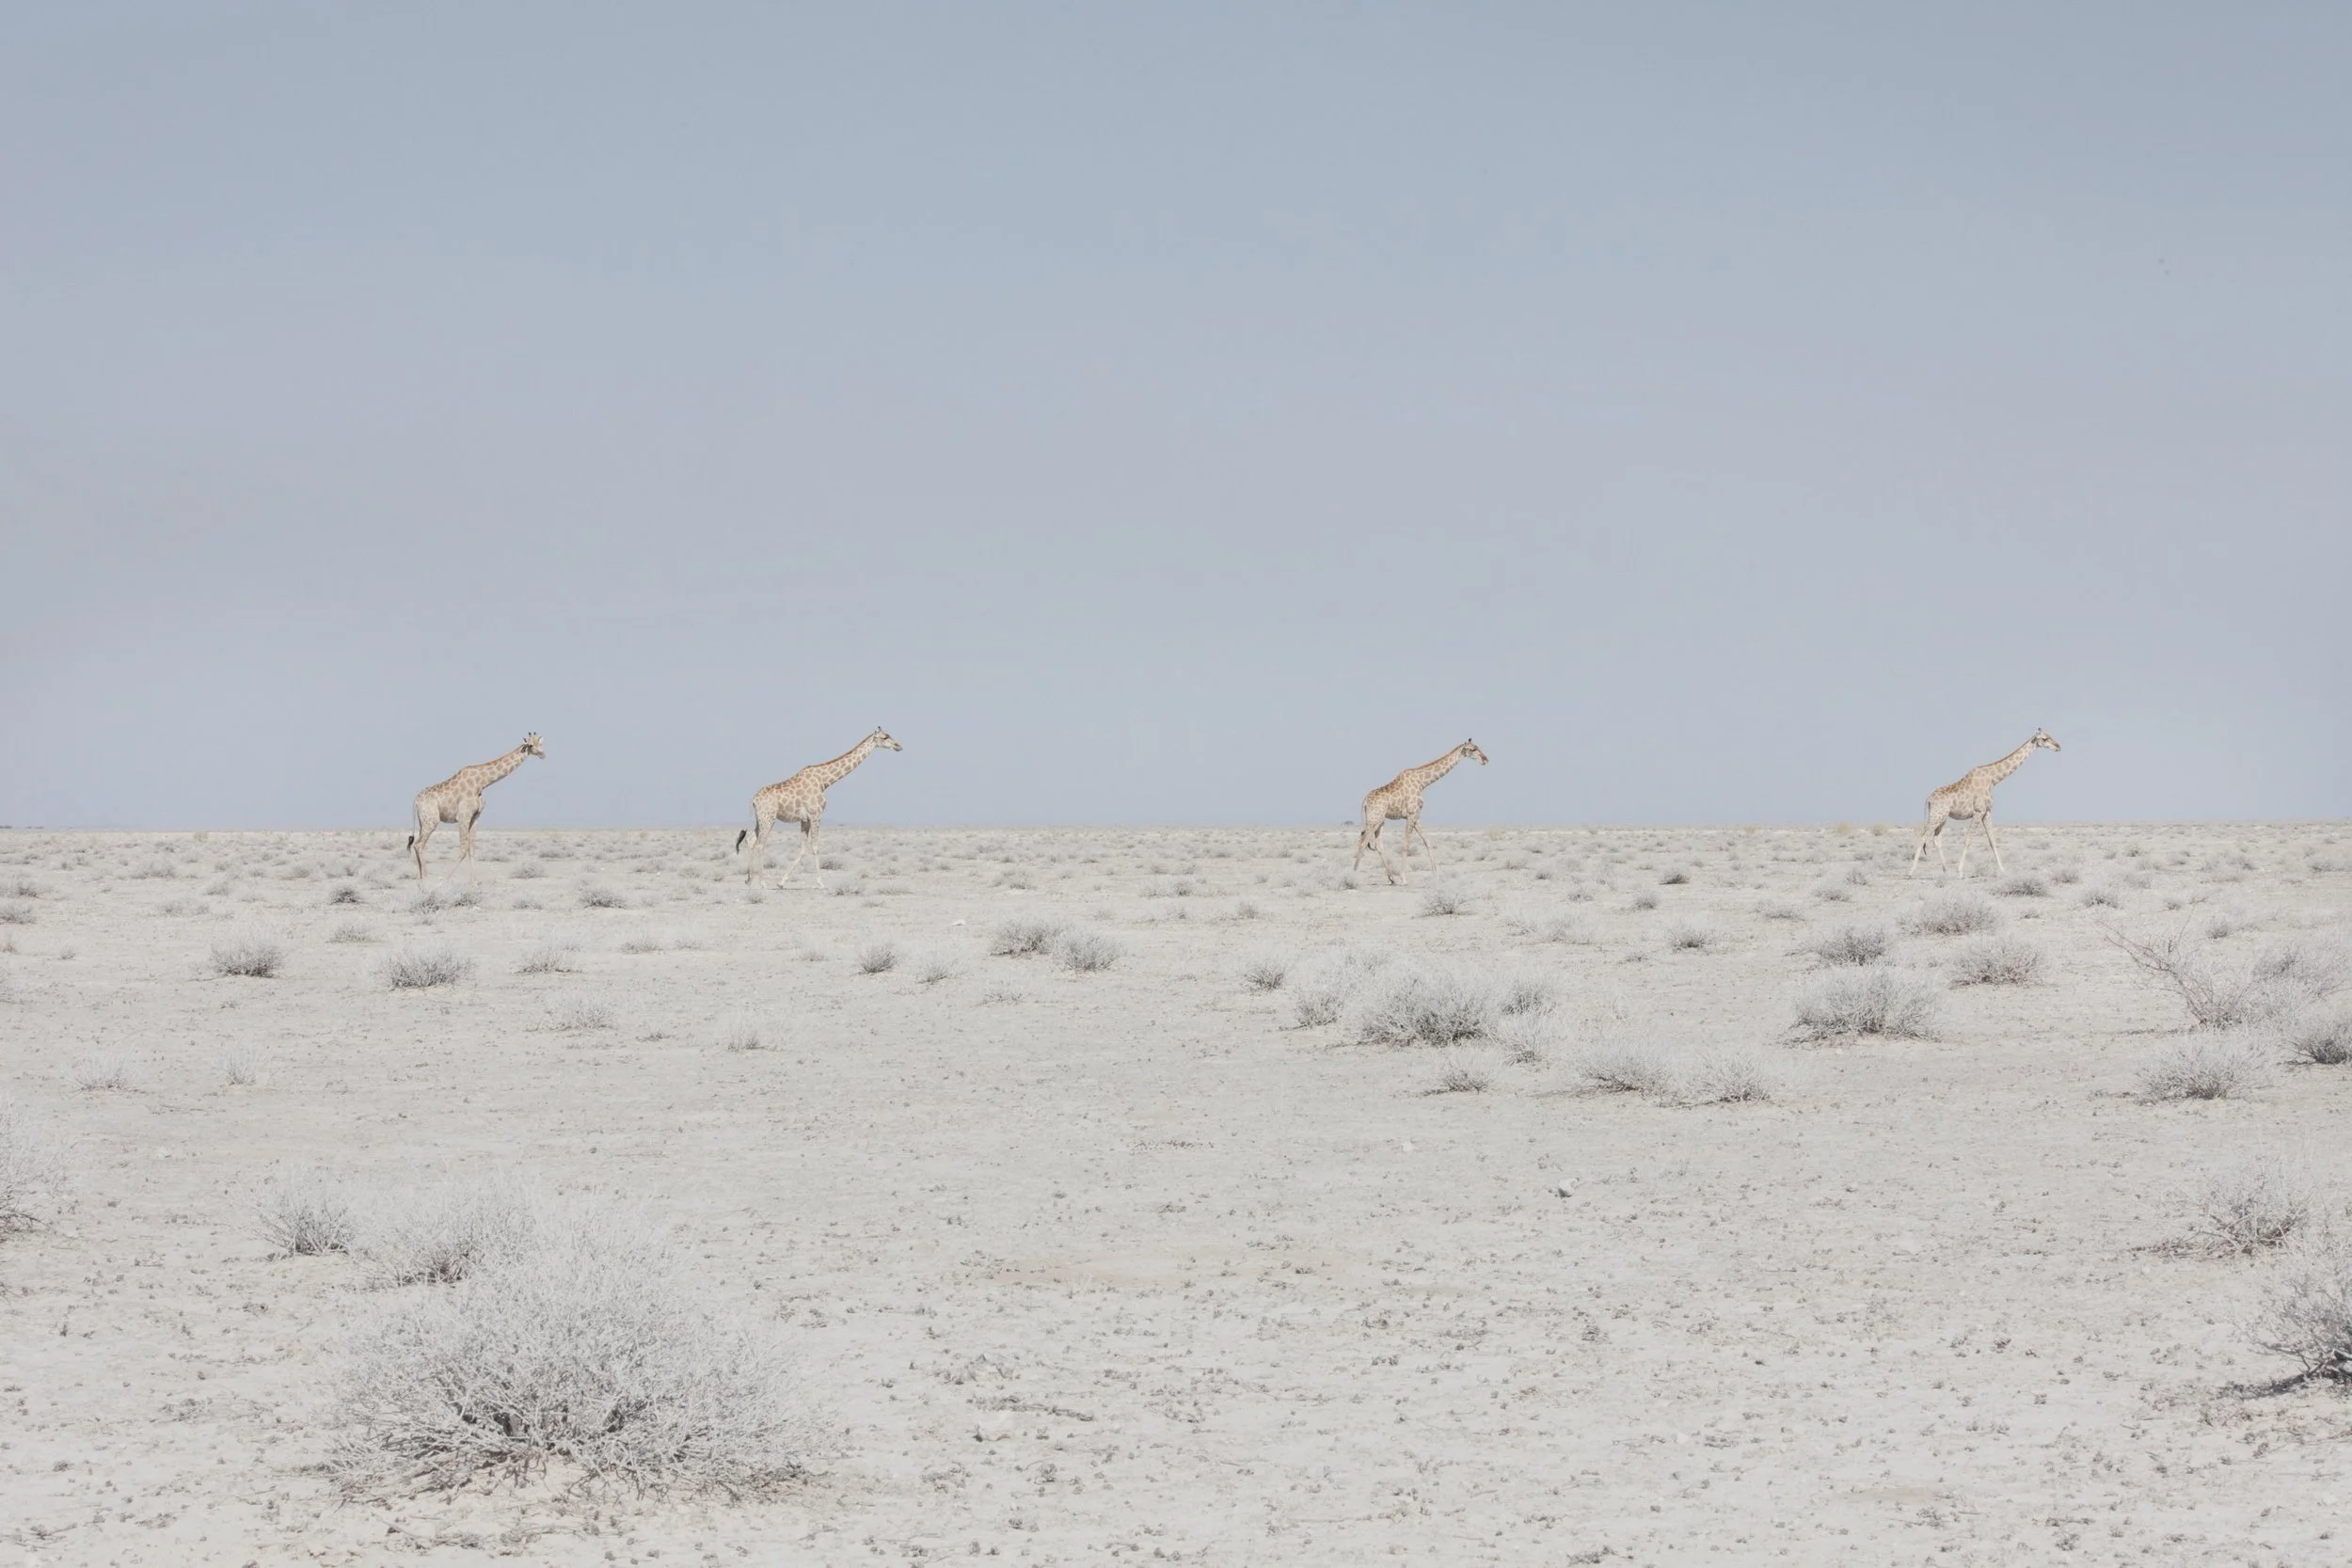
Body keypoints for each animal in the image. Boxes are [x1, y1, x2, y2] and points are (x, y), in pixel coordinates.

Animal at [408, 733, 545, 882]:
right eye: (530, 745)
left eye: (541, 743)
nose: (543, 754)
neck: (482, 783)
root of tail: (415, 800)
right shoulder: (463, 816)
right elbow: (463, 850)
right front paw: (444, 881)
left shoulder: (476, 816)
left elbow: (472, 849)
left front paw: (474, 883)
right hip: (431, 820)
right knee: (419, 845)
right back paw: (426, 880)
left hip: (423, 821)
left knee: (417, 844)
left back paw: (420, 880)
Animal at [736, 727, 903, 888]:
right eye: (885, 737)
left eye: (889, 735)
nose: (898, 746)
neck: (825, 781)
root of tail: (754, 800)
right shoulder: (815, 815)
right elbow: (815, 847)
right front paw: (821, 883)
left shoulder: (805, 820)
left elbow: (803, 849)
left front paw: (781, 882)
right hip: (768, 818)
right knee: (760, 845)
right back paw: (762, 882)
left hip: (760, 819)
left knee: (750, 840)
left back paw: (749, 880)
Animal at [1354, 739, 1489, 885]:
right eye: (1473, 749)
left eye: (1478, 747)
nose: (1485, 759)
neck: (1423, 783)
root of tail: (1365, 801)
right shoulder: (1411, 814)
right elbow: (1406, 844)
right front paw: (1403, 878)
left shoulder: (1416, 816)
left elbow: (1428, 841)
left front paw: (1436, 876)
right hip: (1374, 819)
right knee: (1362, 841)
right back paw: (1354, 875)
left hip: (1380, 820)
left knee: (1378, 845)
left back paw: (1391, 879)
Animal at [1909, 728, 2061, 879]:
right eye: (2045, 738)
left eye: (2050, 735)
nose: (2058, 747)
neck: (1993, 780)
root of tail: (1928, 799)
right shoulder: (1979, 811)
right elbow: (1968, 840)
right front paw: (1960, 871)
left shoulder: (1987, 812)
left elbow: (1992, 841)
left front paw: (2003, 870)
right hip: (1937, 815)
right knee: (1923, 835)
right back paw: (1912, 871)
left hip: (1943, 817)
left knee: (1936, 839)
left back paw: (1946, 871)